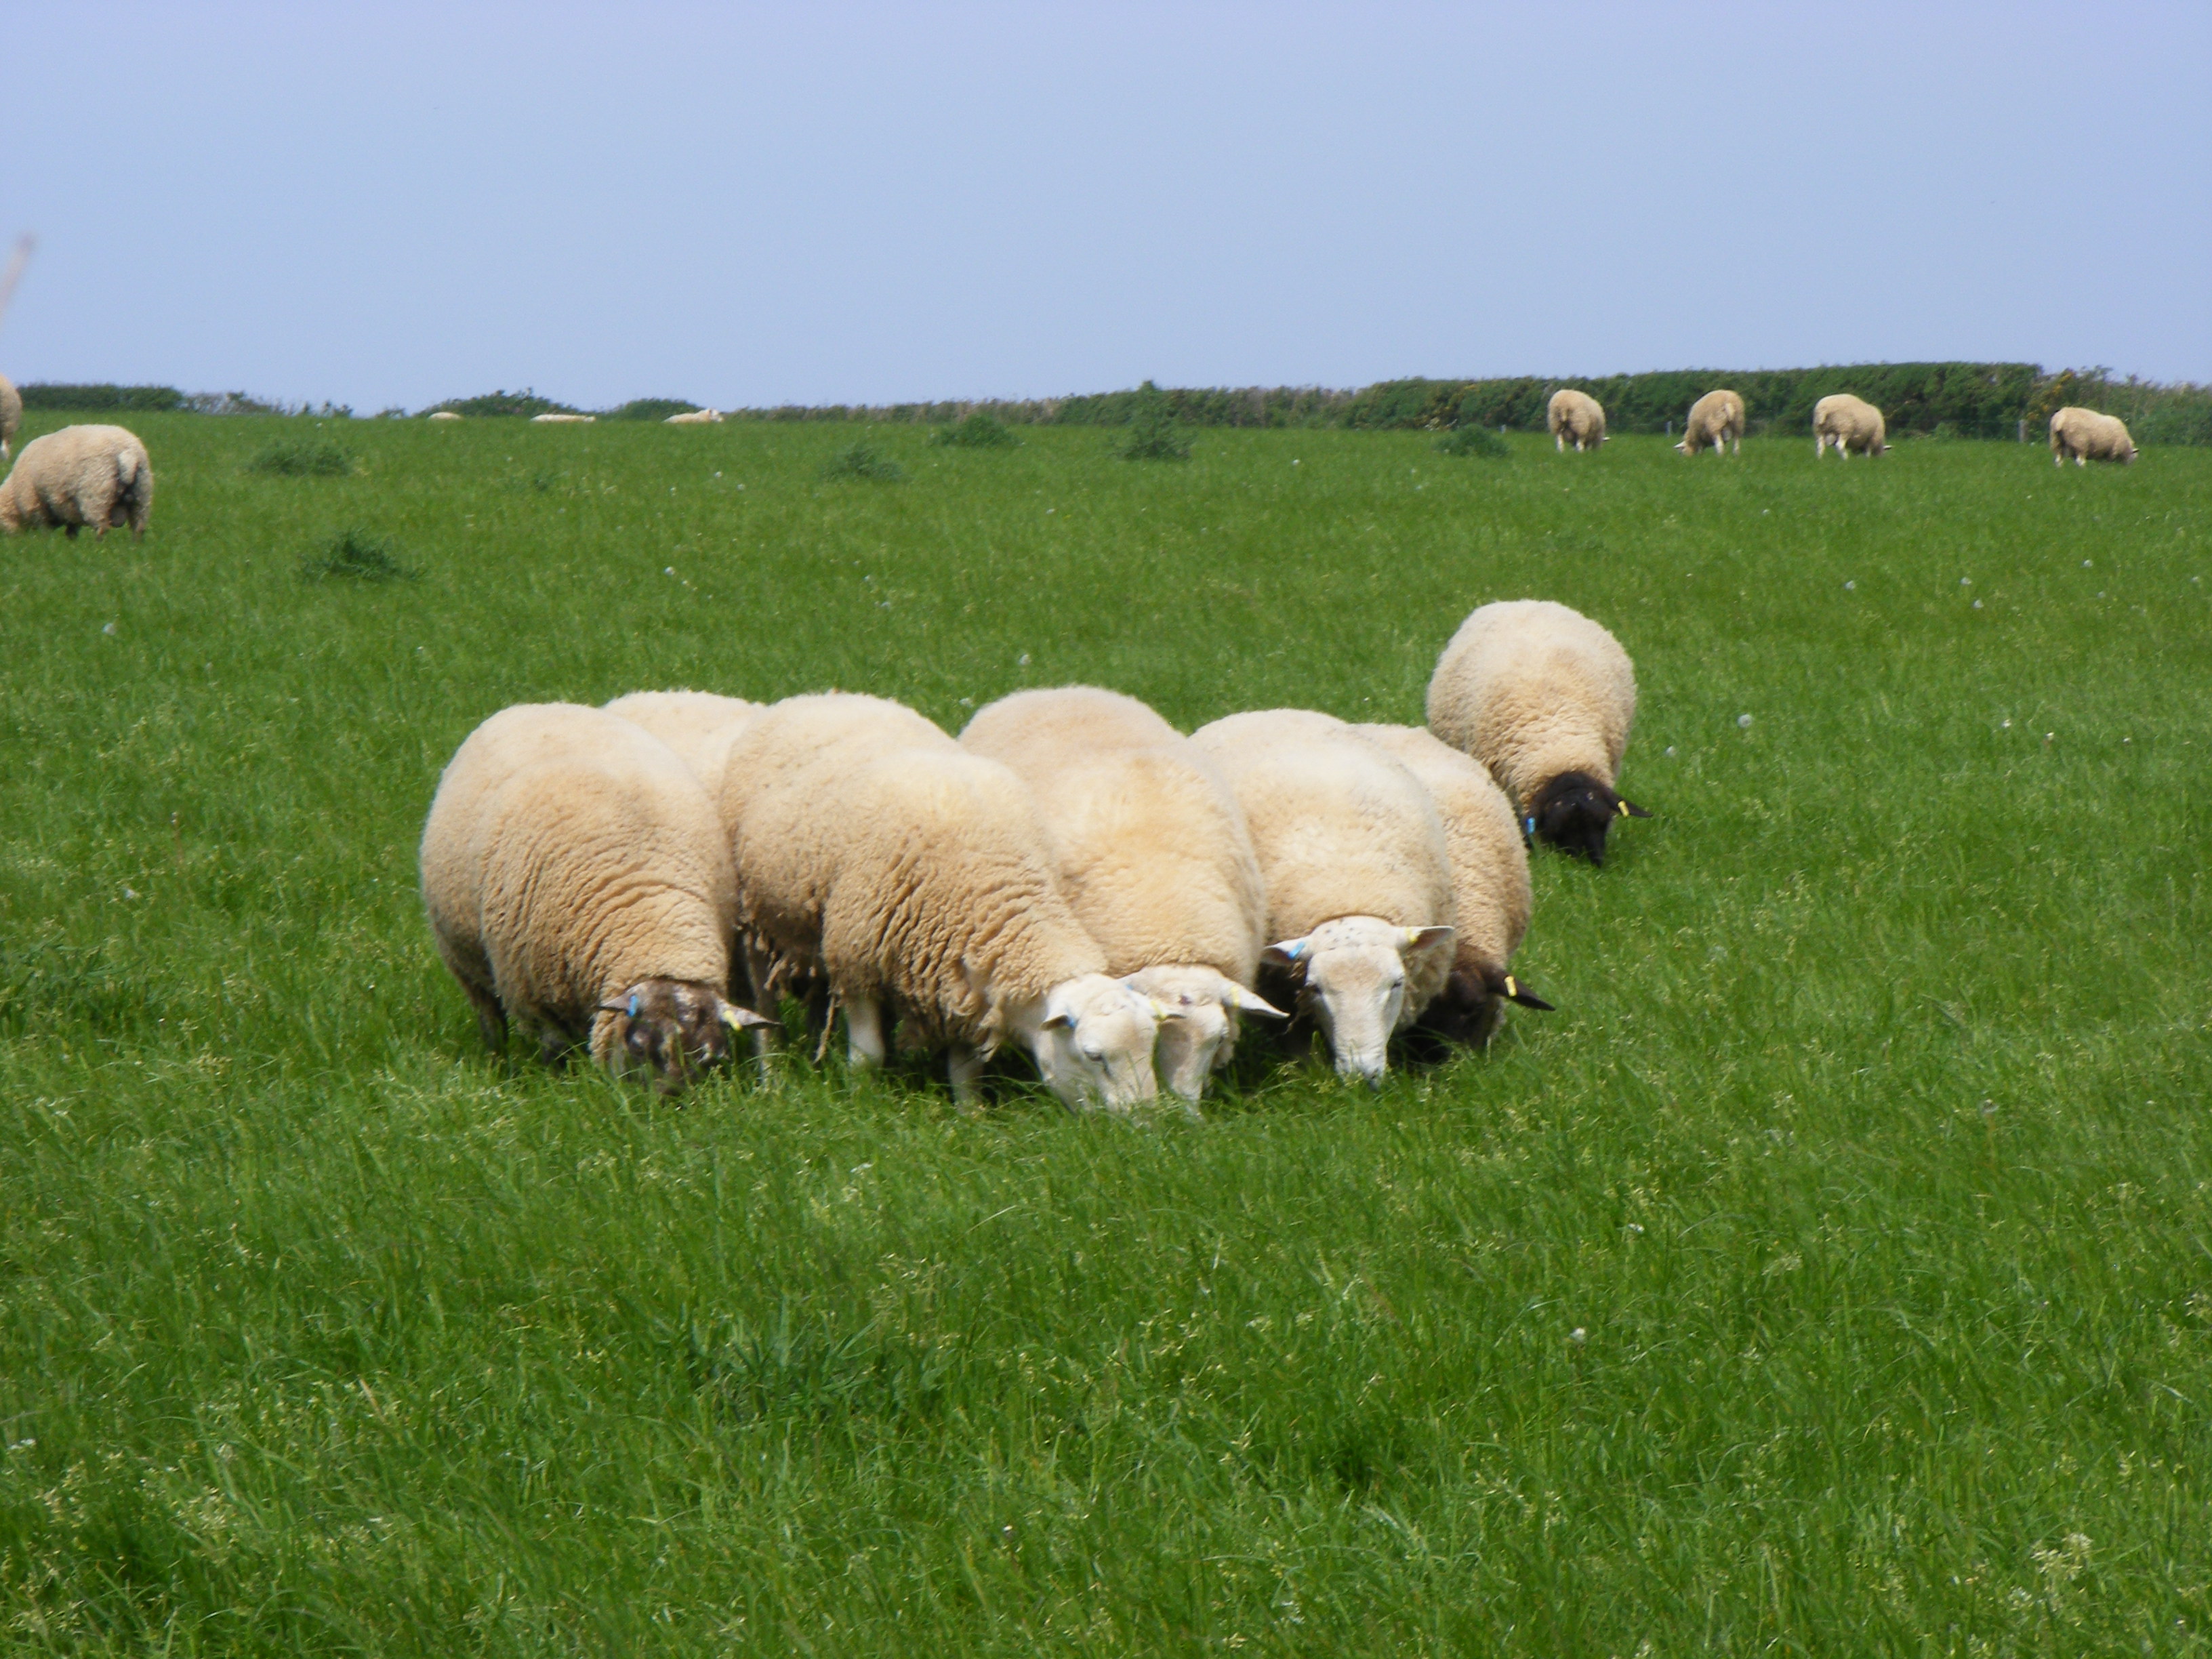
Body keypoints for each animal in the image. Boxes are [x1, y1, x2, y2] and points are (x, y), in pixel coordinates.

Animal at [0, 424, 153, 540]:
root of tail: (128, 454)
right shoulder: (70, 509)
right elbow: (72, 530)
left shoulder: (35, 504)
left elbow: (44, 530)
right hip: (142, 494)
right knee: (139, 527)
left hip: (96, 496)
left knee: (102, 528)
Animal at [419, 703, 773, 1095]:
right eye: (638, 1047)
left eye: (714, 1059)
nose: (673, 1101)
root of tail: (536, 706)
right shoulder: (532, 993)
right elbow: (554, 1044)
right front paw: (557, 1082)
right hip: (461, 957)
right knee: (489, 1016)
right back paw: (498, 1059)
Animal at [722, 692, 1160, 1112]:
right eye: (1094, 1056)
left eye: (1151, 1049)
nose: (1144, 1123)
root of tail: (822, 696)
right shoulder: (856, 960)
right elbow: (868, 1054)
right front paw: (859, 1100)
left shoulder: (961, 979)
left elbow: (966, 1068)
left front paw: (971, 1114)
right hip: (757, 913)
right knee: (765, 1005)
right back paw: (772, 1076)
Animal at [2049, 406, 2137, 466]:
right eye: (2133, 458)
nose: (2129, 469)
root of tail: (2061, 417)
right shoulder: (2113, 452)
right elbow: (2108, 463)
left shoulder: (2101, 454)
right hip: (2080, 443)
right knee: (2080, 461)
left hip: (2056, 441)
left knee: (2058, 459)